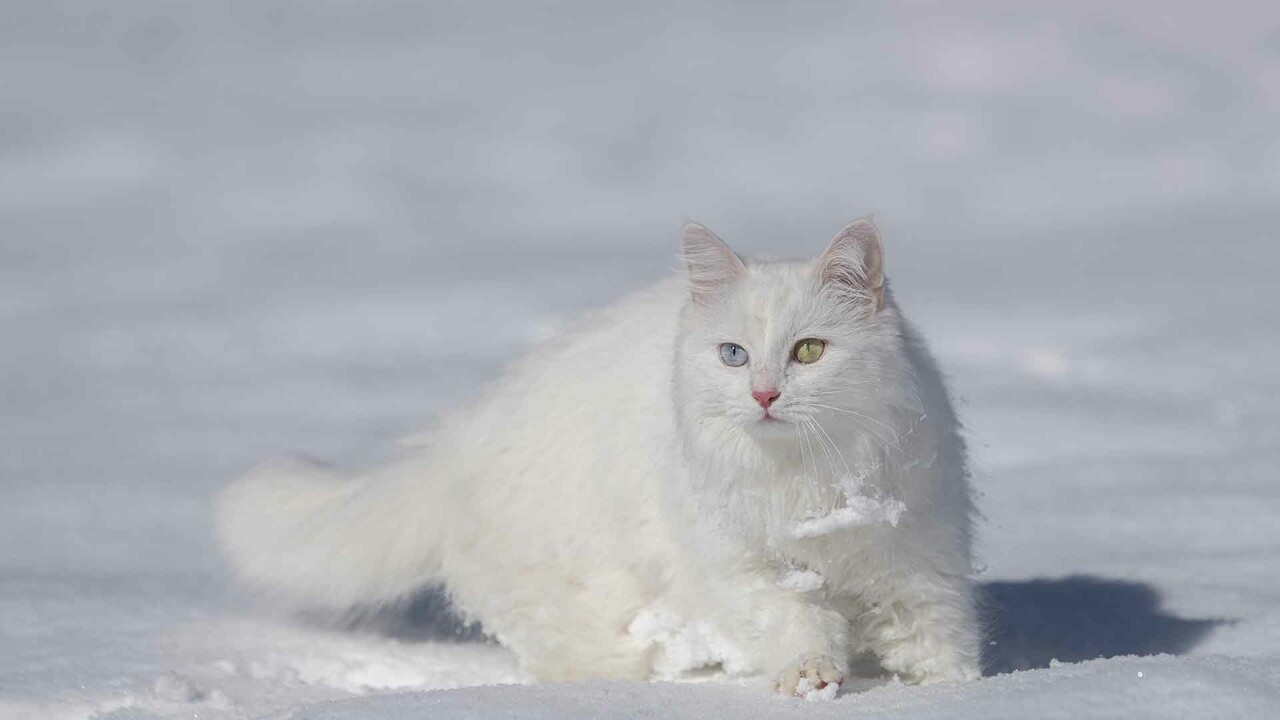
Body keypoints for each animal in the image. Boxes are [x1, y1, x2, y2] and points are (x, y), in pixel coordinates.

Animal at [217, 220, 977, 696]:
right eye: (733, 354)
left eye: (810, 351)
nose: (763, 393)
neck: (809, 487)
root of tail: (458, 434)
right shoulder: (738, 569)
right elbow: (794, 621)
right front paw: (811, 677)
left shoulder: (919, 563)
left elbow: (940, 643)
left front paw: (957, 695)